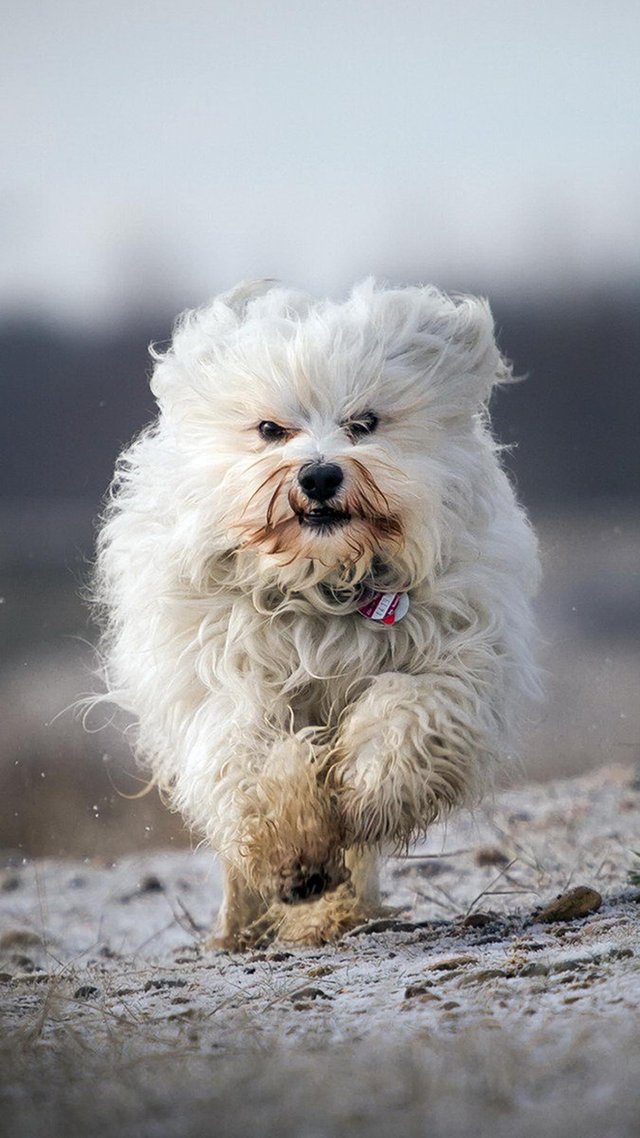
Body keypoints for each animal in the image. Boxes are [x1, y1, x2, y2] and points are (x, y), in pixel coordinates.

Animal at [92, 279, 535, 946]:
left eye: (364, 423)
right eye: (270, 429)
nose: (320, 474)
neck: (323, 585)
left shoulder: (456, 656)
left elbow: (407, 713)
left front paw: (371, 794)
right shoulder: (224, 675)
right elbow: (254, 755)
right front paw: (292, 853)